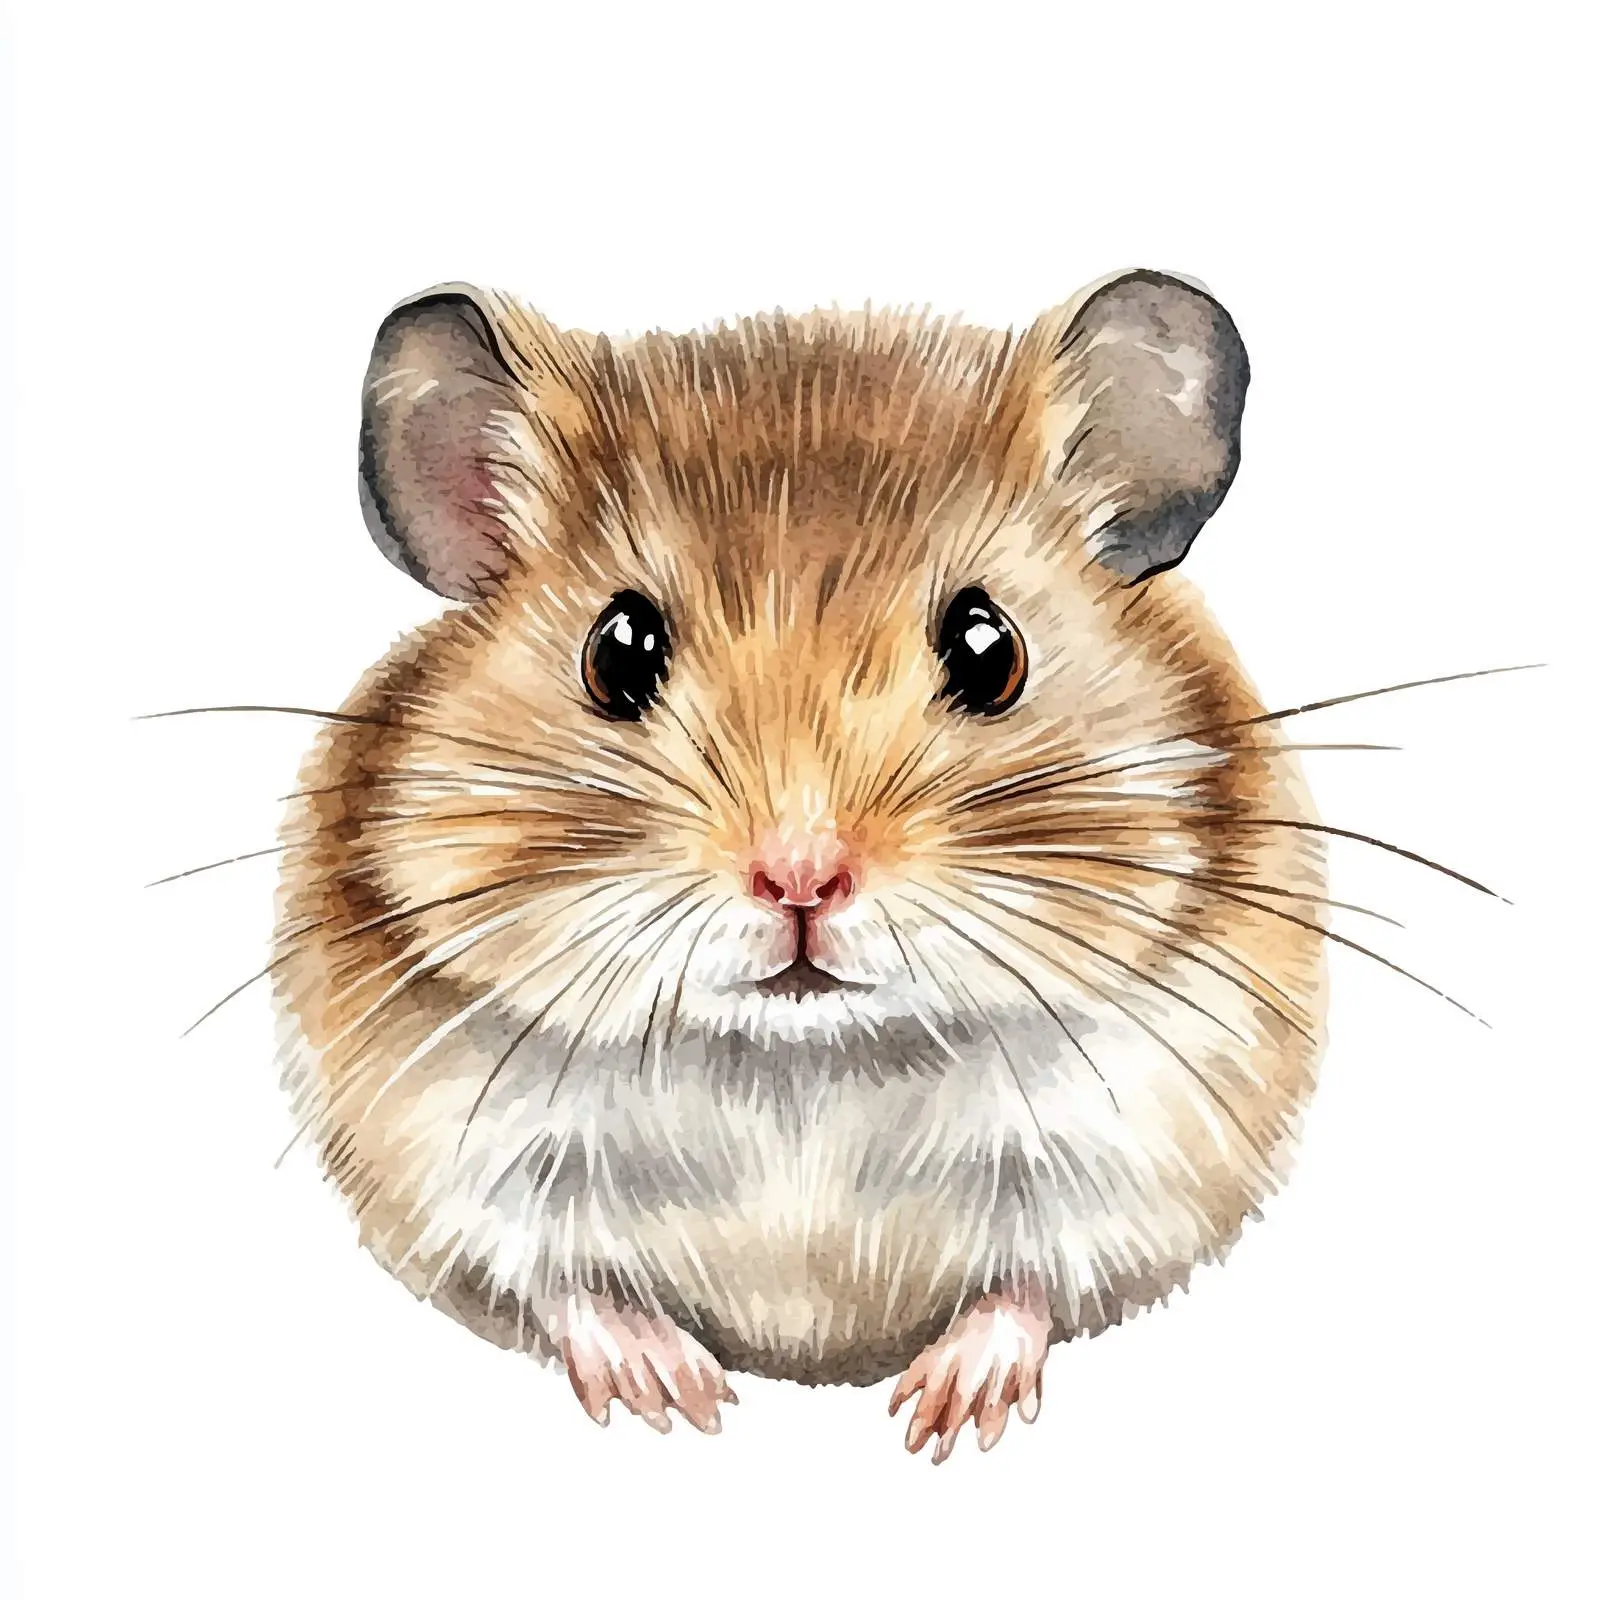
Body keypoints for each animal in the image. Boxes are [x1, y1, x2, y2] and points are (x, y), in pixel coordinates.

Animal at [273, 269, 1326, 1462]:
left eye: (988, 647)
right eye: (617, 649)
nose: (800, 879)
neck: (801, 1064)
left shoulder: (1142, 1149)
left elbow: (1032, 1282)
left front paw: (940, 1415)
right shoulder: (453, 1163)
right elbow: (562, 1282)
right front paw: (680, 1400)